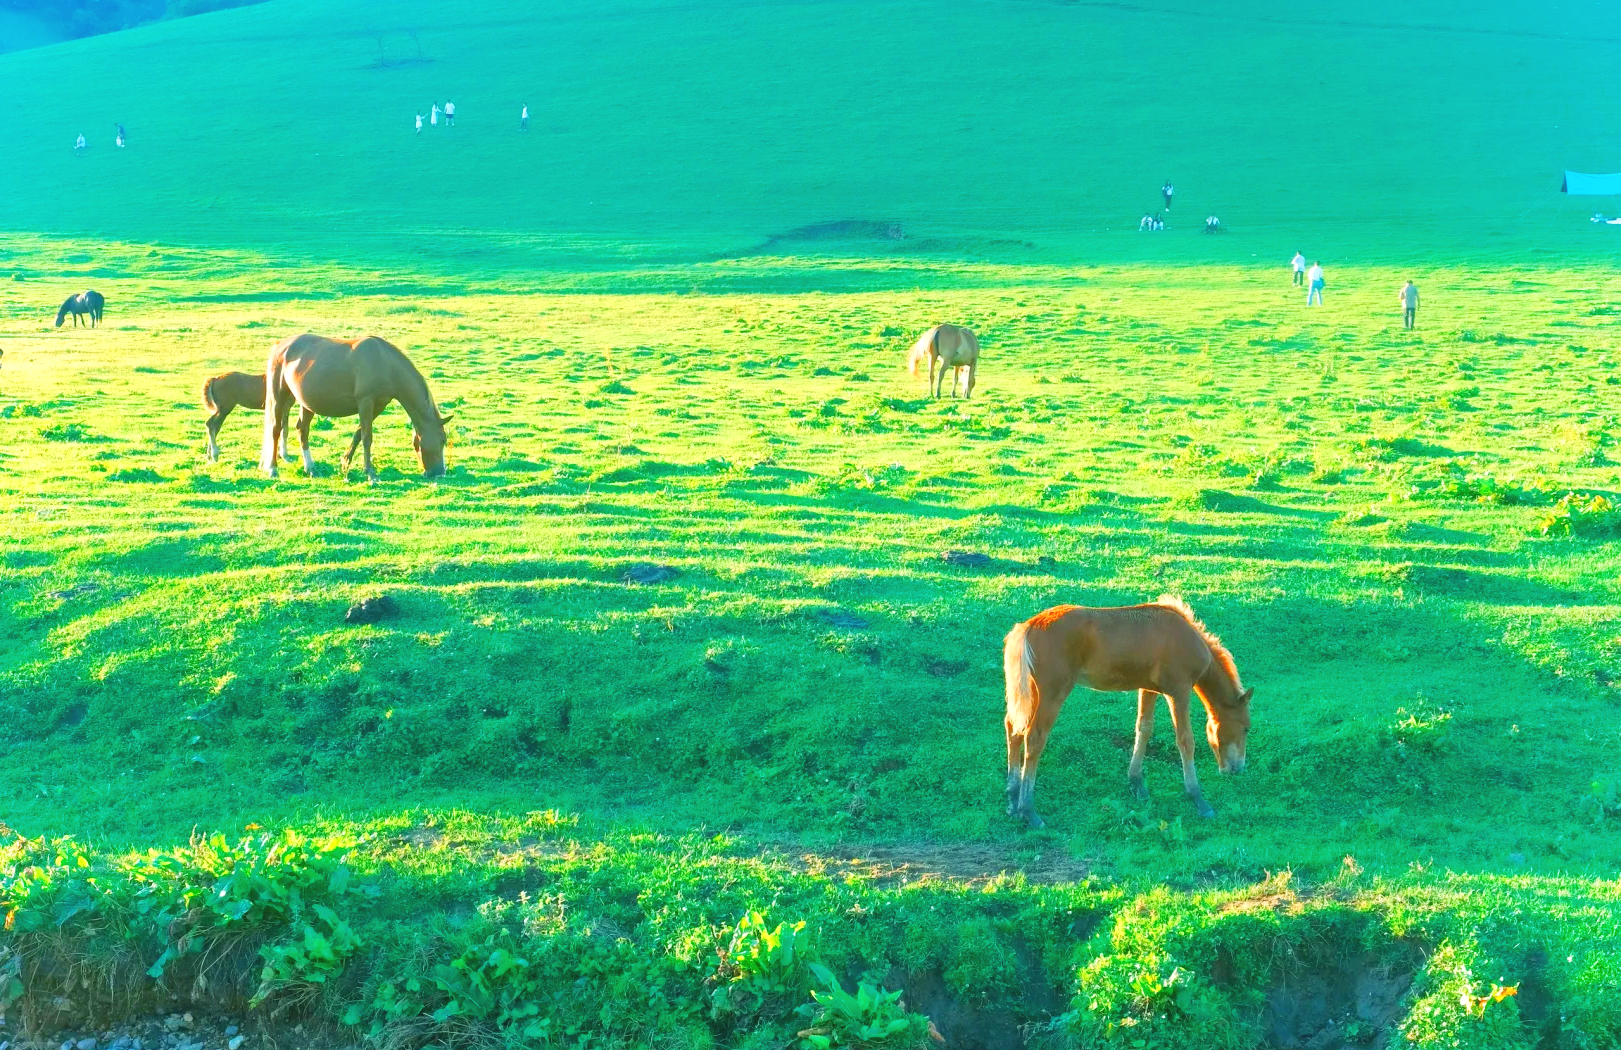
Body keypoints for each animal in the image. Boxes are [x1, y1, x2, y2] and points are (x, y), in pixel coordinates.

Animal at [260, 333, 453, 482]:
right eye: (442, 439)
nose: (439, 473)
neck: (385, 363)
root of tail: (280, 346)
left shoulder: (378, 405)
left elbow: (359, 434)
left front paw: (345, 462)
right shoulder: (366, 402)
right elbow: (367, 437)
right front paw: (370, 473)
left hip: (306, 403)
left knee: (302, 429)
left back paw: (311, 468)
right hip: (279, 397)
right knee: (276, 429)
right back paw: (273, 469)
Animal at [998, 599, 1251, 829]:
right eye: (1246, 729)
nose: (1238, 768)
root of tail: (1029, 625)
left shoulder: (1149, 689)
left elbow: (1144, 728)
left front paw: (1137, 783)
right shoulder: (1178, 690)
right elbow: (1186, 740)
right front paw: (1198, 799)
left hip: (1030, 691)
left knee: (1013, 728)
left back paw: (1012, 798)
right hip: (1053, 693)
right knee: (1034, 737)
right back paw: (1028, 810)